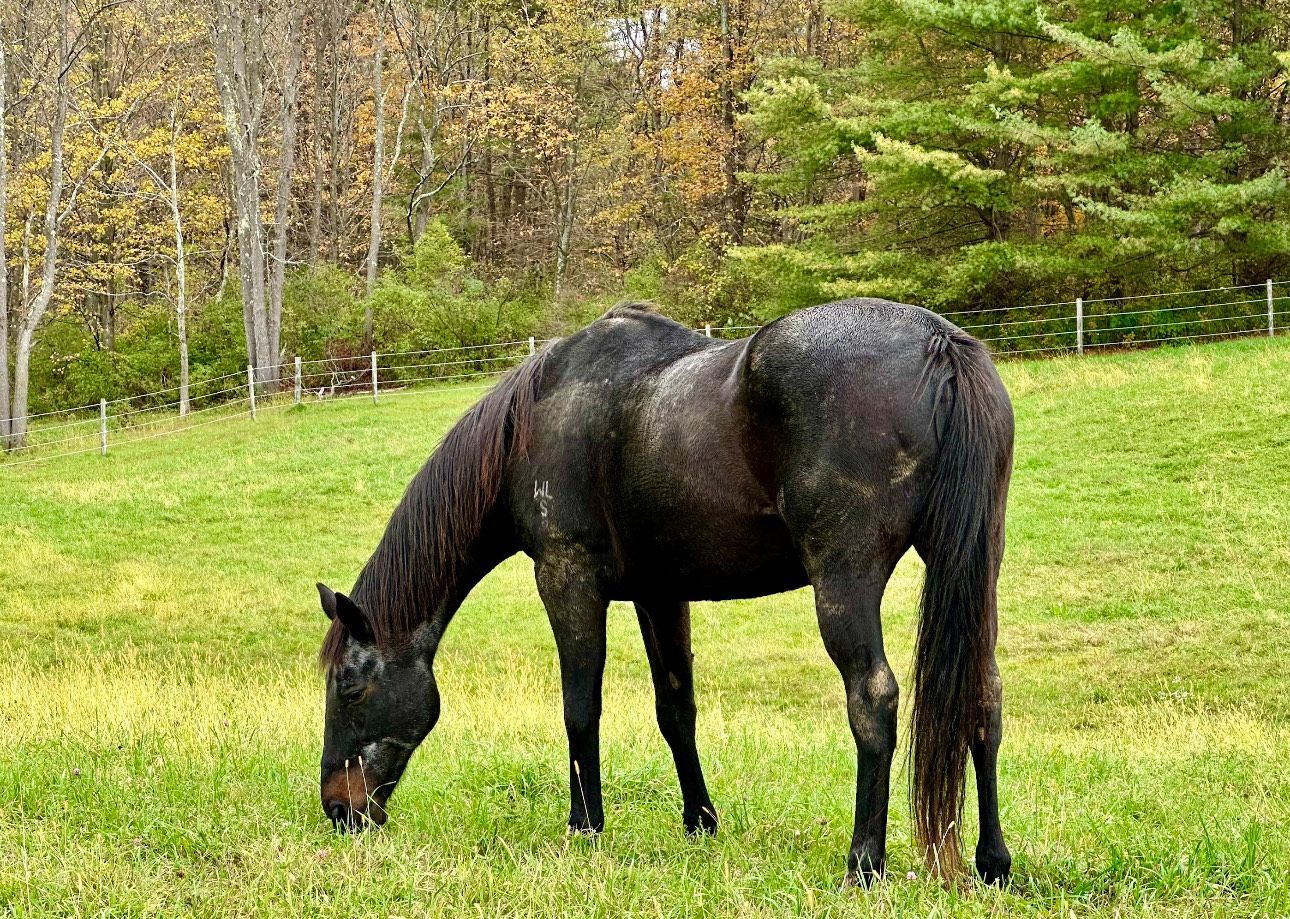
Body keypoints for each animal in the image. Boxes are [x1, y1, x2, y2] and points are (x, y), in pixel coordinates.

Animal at [316, 298, 1015, 886]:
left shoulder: (567, 582)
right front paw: (700, 821)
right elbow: (676, 709)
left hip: (844, 582)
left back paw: (863, 863)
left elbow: (580, 709)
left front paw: (585, 827)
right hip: (975, 575)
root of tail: (940, 342)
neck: (537, 420)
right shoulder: (660, 595)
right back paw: (993, 861)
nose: (338, 809)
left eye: (349, 687)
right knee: (983, 698)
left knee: (873, 699)